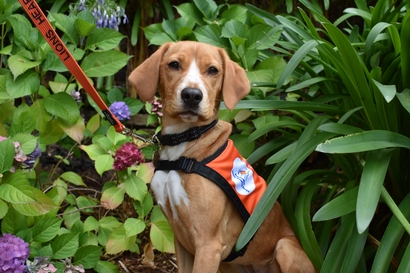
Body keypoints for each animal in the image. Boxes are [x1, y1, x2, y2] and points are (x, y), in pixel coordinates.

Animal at [130, 41, 316, 272]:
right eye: (173, 65)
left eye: (213, 70)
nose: (192, 95)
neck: (183, 147)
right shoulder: (180, 238)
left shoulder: (208, 244)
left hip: (284, 248)